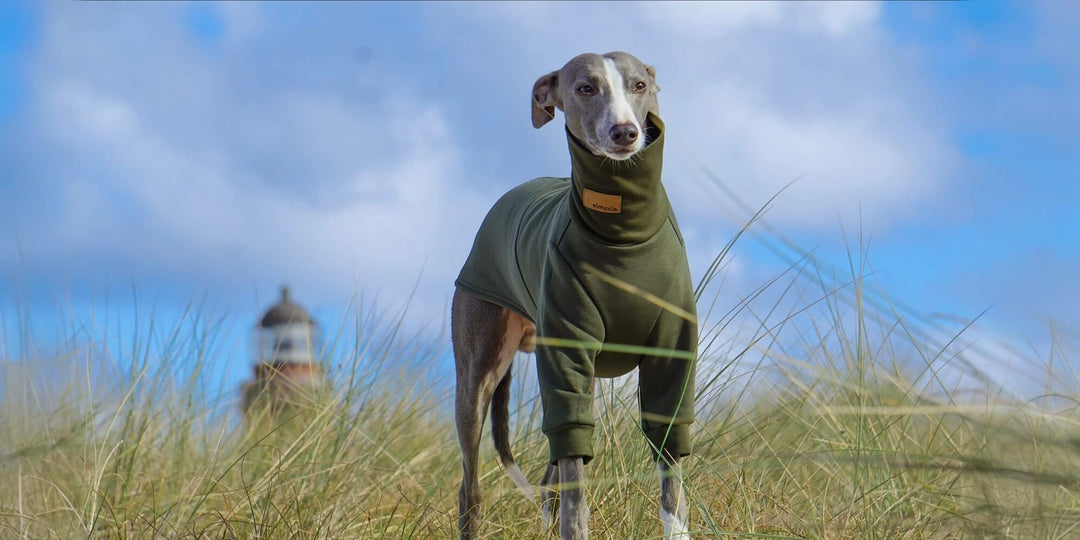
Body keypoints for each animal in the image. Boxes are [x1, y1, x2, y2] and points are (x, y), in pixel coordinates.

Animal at [451, 51, 695, 540]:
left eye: (639, 85)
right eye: (585, 88)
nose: (626, 133)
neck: (623, 233)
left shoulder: (673, 356)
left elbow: (670, 473)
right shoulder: (567, 355)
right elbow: (576, 494)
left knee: (550, 480)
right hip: (476, 378)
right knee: (475, 488)